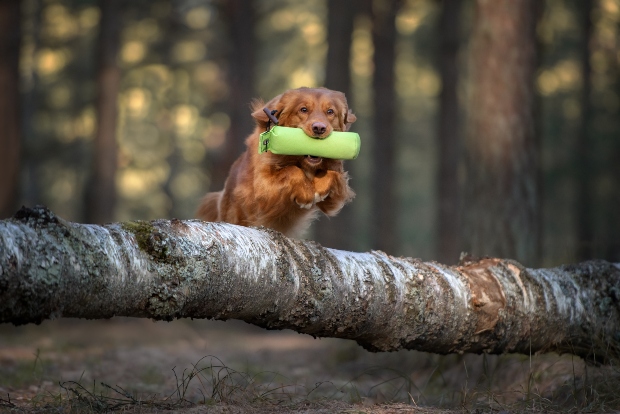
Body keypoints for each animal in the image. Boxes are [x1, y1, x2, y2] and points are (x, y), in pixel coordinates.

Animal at [196, 86, 356, 236]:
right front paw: (305, 193)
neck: (302, 161)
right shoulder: (263, 189)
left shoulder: (332, 201)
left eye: (330, 111)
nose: (319, 128)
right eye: (303, 109)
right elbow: (291, 171)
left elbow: (334, 174)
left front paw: (321, 186)